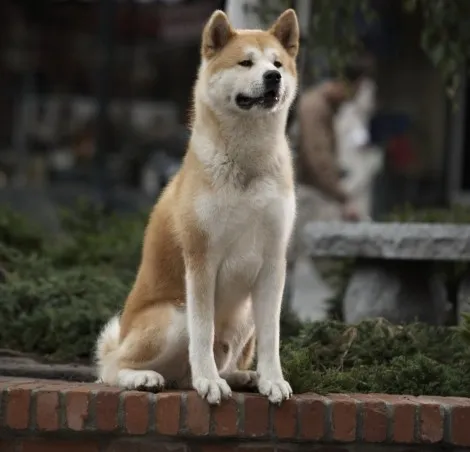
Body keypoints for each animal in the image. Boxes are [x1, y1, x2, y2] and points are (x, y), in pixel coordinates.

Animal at [95, 7, 300, 404]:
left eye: (277, 63)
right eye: (246, 62)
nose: (273, 77)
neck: (247, 164)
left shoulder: (273, 263)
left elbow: (272, 337)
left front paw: (272, 379)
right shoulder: (202, 259)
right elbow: (203, 333)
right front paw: (209, 382)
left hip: (244, 315)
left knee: (212, 365)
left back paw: (243, 376)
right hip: (174, 317)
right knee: (111, 368)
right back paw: (146, 378)